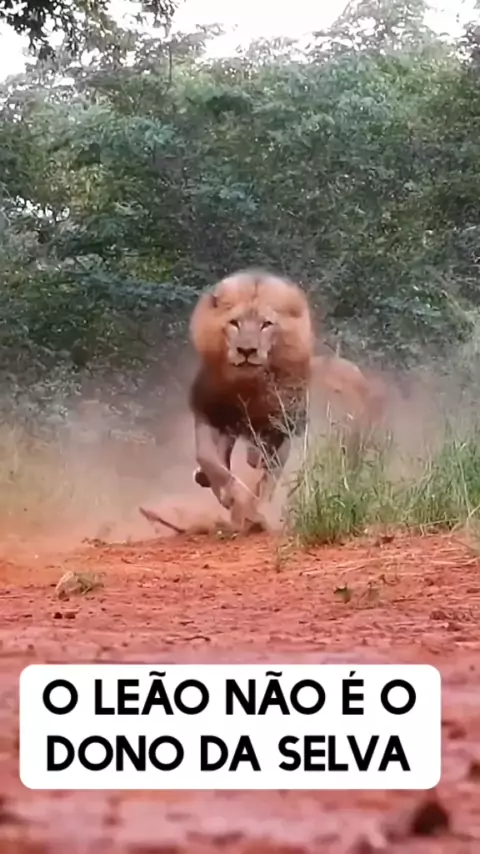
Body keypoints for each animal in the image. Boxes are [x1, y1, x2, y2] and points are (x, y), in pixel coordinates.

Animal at [188, 268, 315, 527]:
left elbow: (266, 478)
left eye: (266, 324)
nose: (247, 351)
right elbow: (208, 458)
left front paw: (253, 512)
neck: (248, 386)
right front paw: (230, 494)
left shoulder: (282, 427)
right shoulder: (210, 414)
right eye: (234, 323)